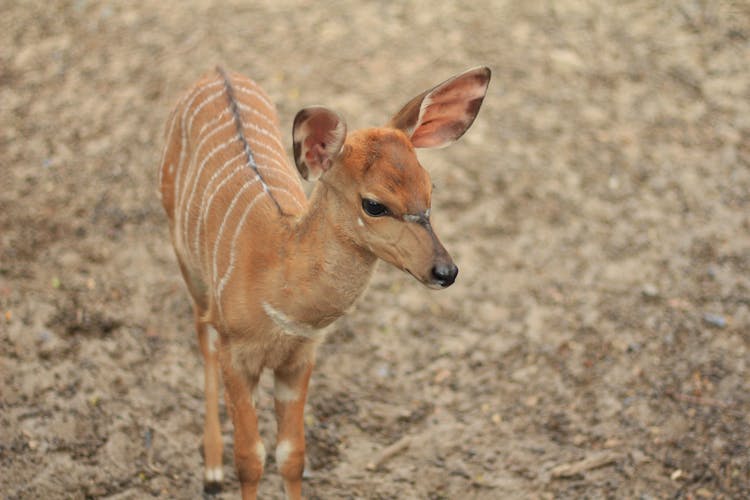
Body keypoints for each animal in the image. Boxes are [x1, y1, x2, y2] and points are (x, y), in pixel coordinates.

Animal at [156, 67, 490, 500]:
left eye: (430, 188)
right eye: (374, 205)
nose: (445, 271)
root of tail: (217, 71)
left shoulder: (300, 358)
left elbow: (292, 454)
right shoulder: (236, 354)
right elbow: (249, 458)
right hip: (188, 264)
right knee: (202, 339)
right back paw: (211, 471)